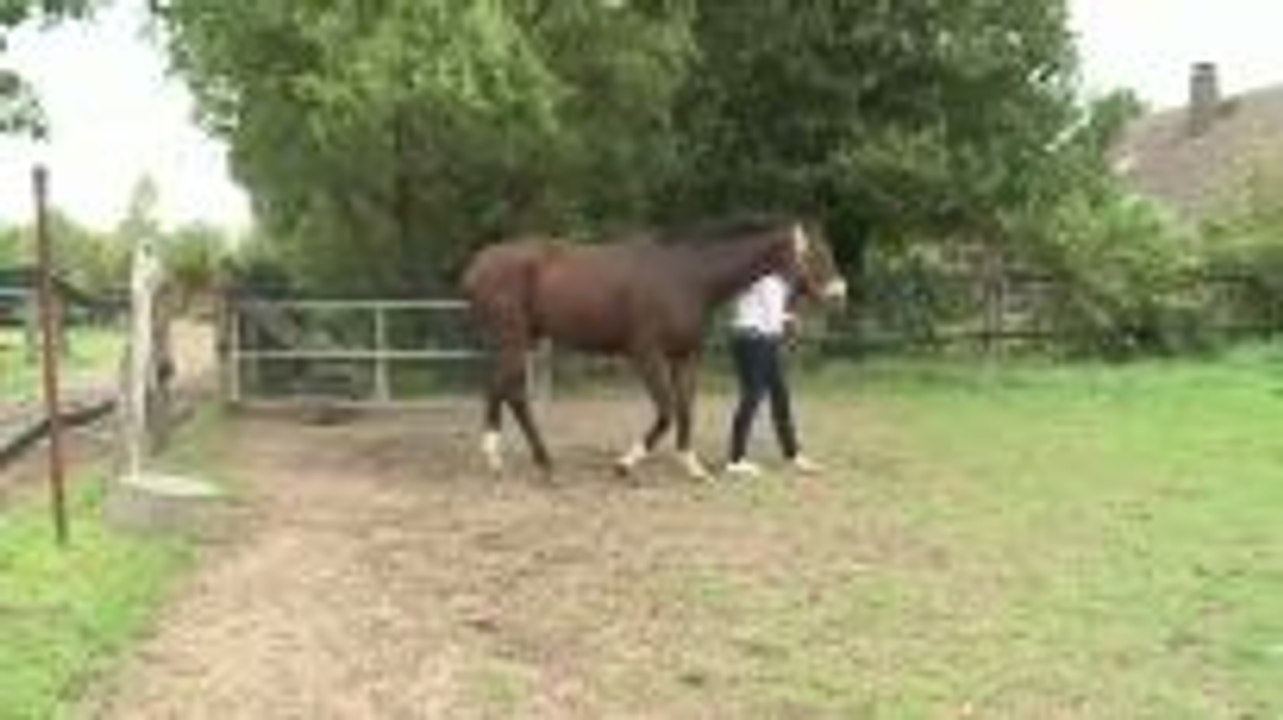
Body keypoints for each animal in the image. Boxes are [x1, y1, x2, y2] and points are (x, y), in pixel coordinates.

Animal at [461, 214, 847, 482]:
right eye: (816, 253)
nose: (839, 295)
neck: (688, 276)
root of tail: (478, 265)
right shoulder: (646, 355)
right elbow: (667, 410)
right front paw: (626, 463)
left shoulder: (686, 358)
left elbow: (686, 409)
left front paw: (692, 466)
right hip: (512, 340)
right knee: (513, 393)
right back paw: (540, 462)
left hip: (514, 342)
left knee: (498, 388)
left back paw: (502, 458)